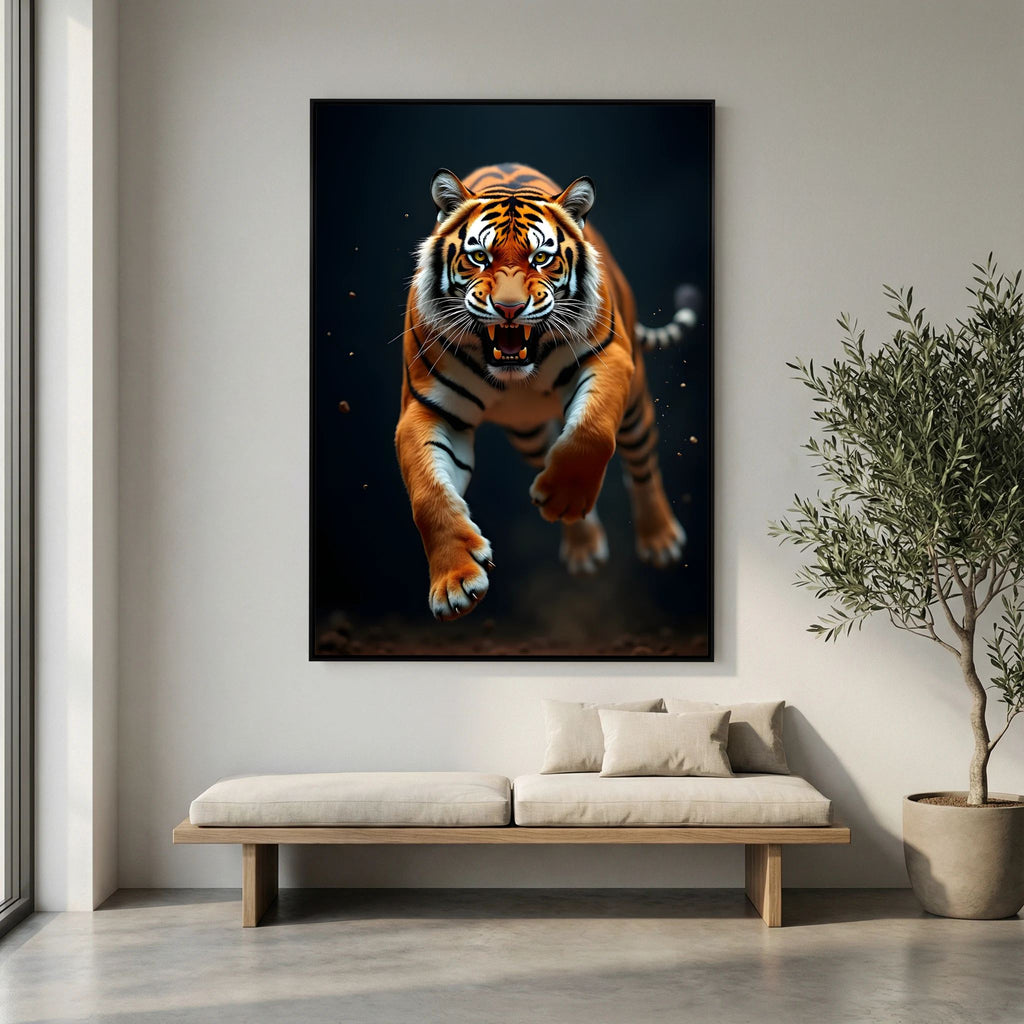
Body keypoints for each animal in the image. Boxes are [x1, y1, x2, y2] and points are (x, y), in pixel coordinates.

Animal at [395, 162, 698, 621]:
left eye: (541, 257)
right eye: (479, 256)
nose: (509, 308)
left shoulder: (609, 359)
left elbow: (591, 432)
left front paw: (566, 497)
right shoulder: (425, 408)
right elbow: (428, 496)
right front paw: (455, 584)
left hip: (635, 407)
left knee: (641, 464)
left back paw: (659, 539)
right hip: (527, 432)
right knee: (549, 450)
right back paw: (583, 546)